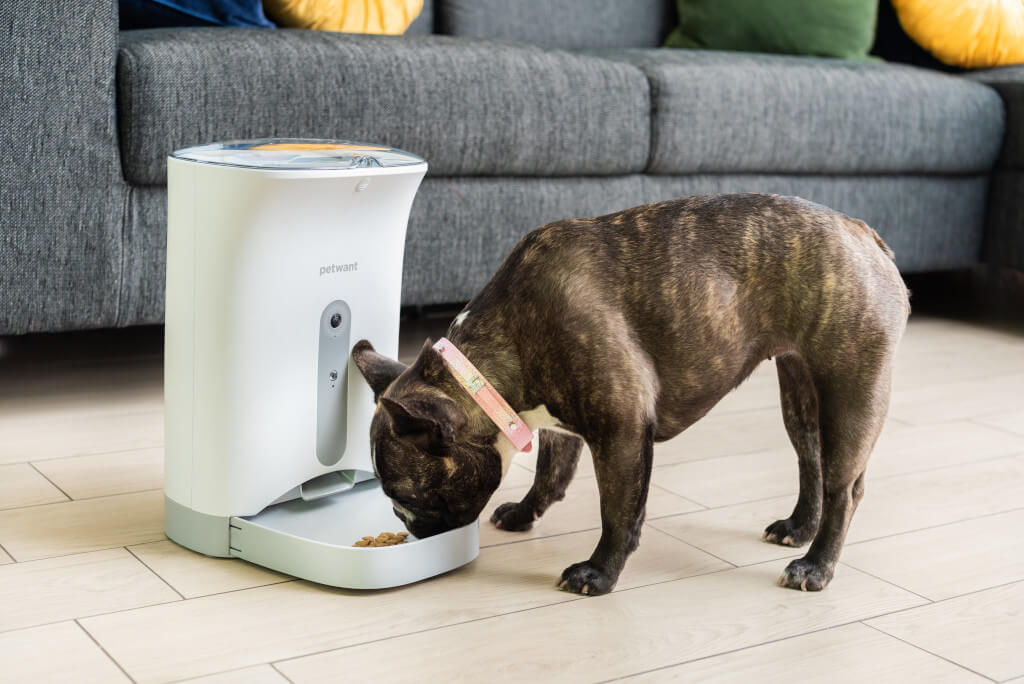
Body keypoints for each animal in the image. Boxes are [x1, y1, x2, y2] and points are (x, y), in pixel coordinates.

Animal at [354, 192, 913, 593]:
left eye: (407, 497)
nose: (413, 532)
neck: (487, 371)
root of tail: (864, 233)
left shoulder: (621, 431)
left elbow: (618, 510)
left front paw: (598, 574)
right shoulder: (562, 422)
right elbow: (552, 472)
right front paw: (524, 512)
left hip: (852, 389)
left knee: (845, 486)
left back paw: (816, 566)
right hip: (799, 393)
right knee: (809, 461)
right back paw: (798, 528)